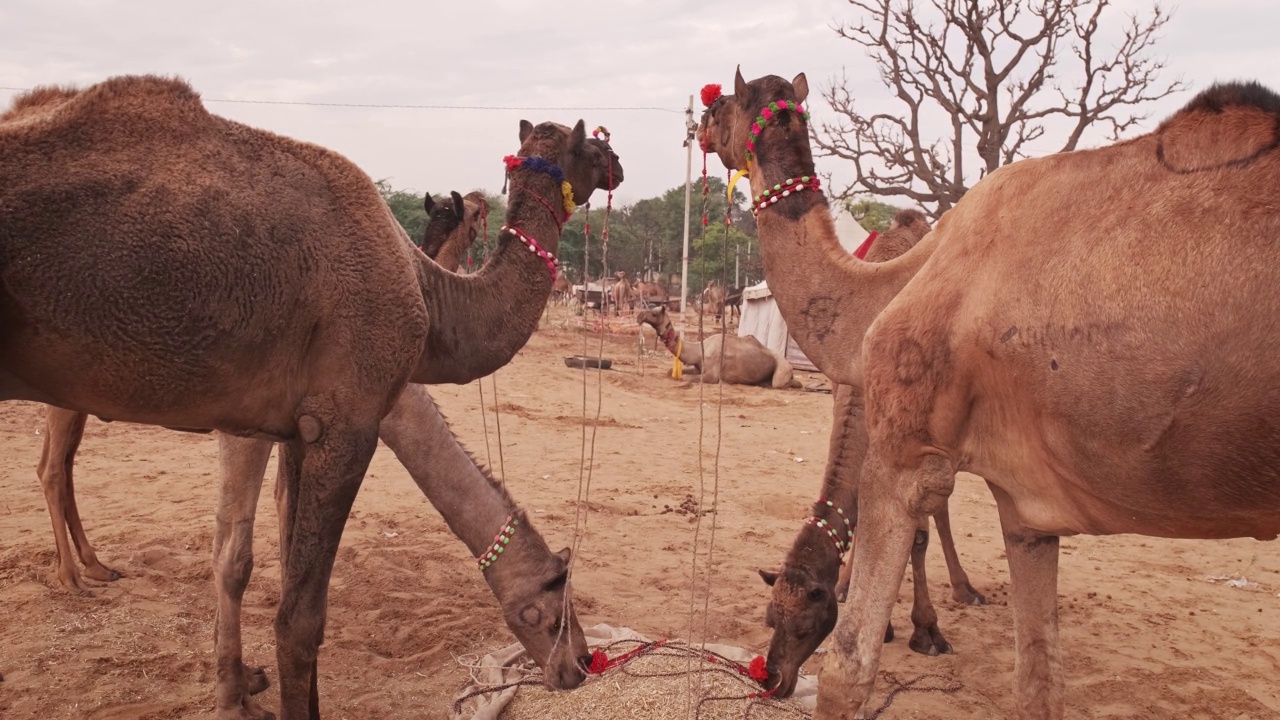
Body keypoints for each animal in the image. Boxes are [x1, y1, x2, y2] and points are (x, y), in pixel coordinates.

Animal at [31, 181, 488, 591]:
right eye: (476, 214)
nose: (485, 203)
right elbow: (287, 497)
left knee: (62, 465)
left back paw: (97, 566)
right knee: (52, 469)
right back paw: (71, 578)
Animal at [634, 304, 793, 389]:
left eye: (654, 313)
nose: (639, 316)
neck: (698, 351)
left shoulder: (712, 375)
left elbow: (686, 378)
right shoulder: (699, 367)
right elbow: (670, 372)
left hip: (783, 367)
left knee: (779, 382)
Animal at [747, 206, 977, 696]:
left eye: (806, 626)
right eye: (771, 617)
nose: (772, 679)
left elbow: (918, 537)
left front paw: (926, 630)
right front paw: (868, 609)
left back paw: (966, 589)